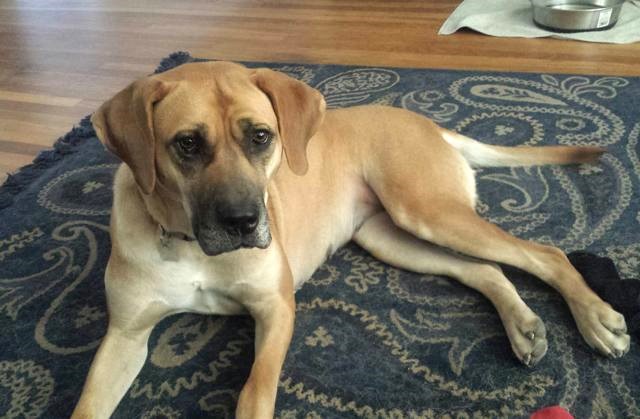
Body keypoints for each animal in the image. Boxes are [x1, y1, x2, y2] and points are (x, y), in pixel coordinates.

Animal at [71, 60, 632, 418]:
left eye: (260, 137)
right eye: (186, 144)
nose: (244, 221)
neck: (186, 240)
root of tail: (427, 123)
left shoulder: (276, 310)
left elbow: (255, 392)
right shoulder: (125, 336)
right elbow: (87, 405)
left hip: (425, 210)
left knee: (546, 253)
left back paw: (597, 320)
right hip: (392, 236)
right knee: (486, 269)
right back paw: (523, 326)